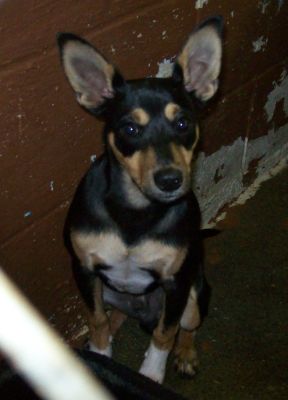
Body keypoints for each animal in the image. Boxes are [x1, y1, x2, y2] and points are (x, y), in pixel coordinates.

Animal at [56, 16, 223, 384]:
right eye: (130, 129)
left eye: (183, 123)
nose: (170, 180)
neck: (135, 210)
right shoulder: (84, 270)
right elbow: (97, 320)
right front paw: (100, 356)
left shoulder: (177, 283)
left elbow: (165, 334)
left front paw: (150, 375)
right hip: (109, 291)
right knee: (112, 317)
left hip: (194, 294)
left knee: (186, 328)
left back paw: (186, 355)